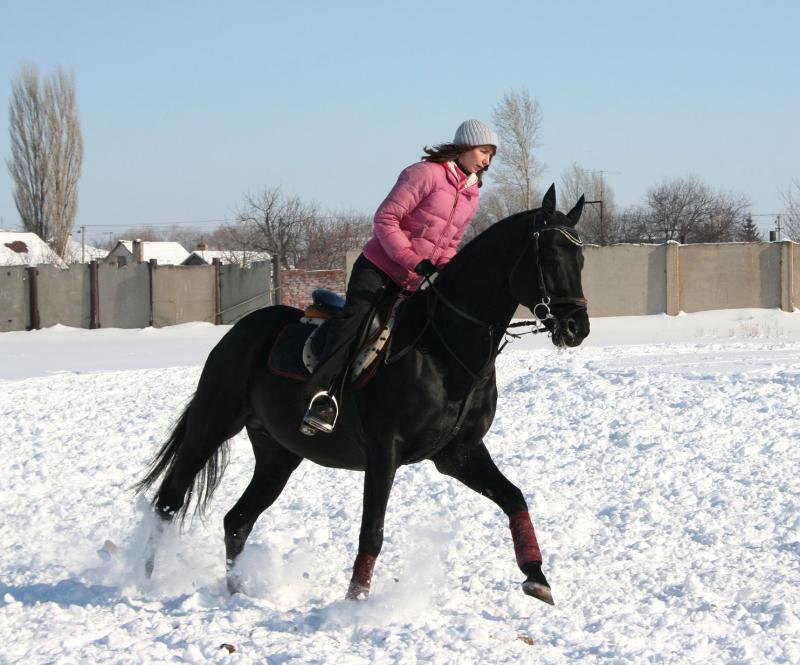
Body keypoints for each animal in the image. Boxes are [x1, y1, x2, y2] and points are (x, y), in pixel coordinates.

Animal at [136, 184, 588, 604]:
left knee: (237, 520)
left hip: (277, 453)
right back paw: (146, 580)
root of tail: (238, 331)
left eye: (581, 259)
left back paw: (237, 591)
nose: (577, 328)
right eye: (550, 256)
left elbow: (514, 498)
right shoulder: (384, 451)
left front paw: (537, 577)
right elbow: (372, 532)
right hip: (211, 427)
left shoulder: (458, 453)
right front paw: (355, 605)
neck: (443, 348)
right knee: (168, 502)